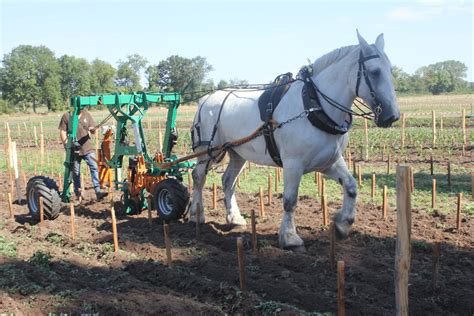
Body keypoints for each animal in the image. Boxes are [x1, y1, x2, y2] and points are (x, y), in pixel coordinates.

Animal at [189, 30, 400, 251]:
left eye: (390, 70)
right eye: (375, 72)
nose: (392, 116)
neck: (315, 107)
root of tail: (205, 99)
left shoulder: (329, 161)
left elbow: (351, 187)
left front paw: (342, 225)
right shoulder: (293, 164)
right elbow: (290, 200)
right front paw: (290, 237)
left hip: (238, 153)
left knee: (228, 181)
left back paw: (235, 218)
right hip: (208, 151)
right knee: (198, 177)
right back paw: (197, 214)